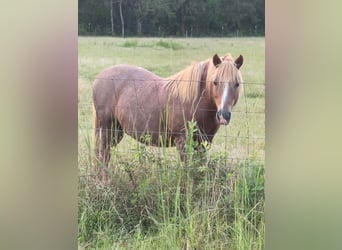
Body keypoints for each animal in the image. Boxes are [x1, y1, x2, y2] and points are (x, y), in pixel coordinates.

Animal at [93, 53, 243, 182]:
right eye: (215, 82)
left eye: (237, 84)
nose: (223, 115)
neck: (195, 102)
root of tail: (99, 77)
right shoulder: (183, 141)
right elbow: (187, 169)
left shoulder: (204, 142)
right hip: (106, 128)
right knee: (103, 154)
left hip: (116, 132)